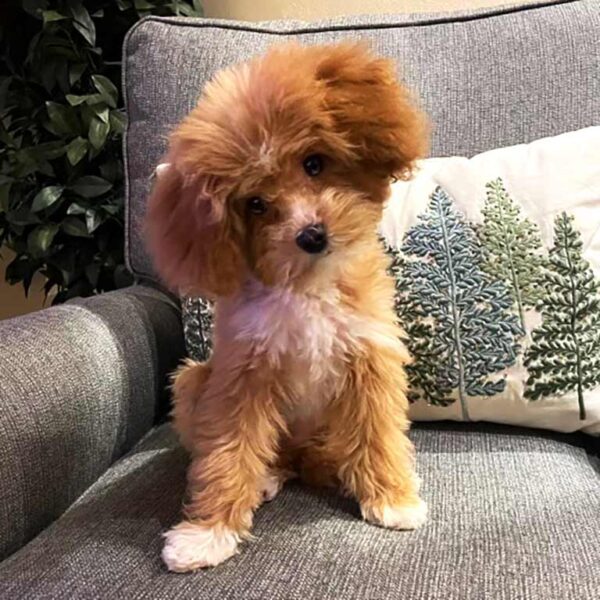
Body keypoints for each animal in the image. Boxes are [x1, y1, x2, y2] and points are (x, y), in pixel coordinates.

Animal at [146, 42, 428, 572]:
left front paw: (392, 499)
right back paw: (267, 477)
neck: (306, 285)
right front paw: (207, 533)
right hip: (194, 379)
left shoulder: (370, 357)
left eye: (314, 164)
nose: (311, 235)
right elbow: (228, 452)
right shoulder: (242, 374)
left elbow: (377, 432)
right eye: (255, 203)